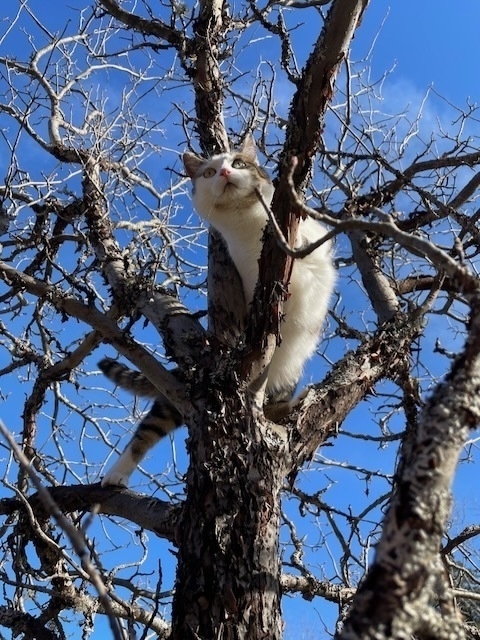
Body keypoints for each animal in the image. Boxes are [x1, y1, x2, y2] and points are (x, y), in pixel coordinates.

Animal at [99, 135, 336, 484]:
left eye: (238, 163)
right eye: (209, 172)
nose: (224, 172)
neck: (250, 222)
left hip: (290, 369)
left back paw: (288, 407)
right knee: (145, 433)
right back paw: (116, 475)